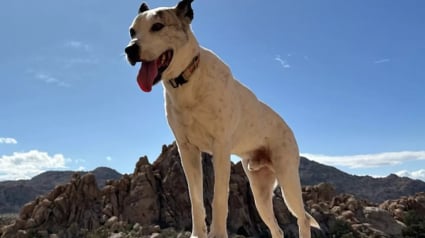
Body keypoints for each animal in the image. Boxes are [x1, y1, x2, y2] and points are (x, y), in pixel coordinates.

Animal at [122, 0, 318, 237]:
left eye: (157, 26)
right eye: (132, 31)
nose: (130, 49)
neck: (189, 81)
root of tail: (289, 128)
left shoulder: (221, 148)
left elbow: (219, 199)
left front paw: (217, 233)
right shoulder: (187, 150)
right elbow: (196, 199)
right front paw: (197, 233)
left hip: (288, 180)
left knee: (303, 219)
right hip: (260, 192)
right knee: (277, 229)